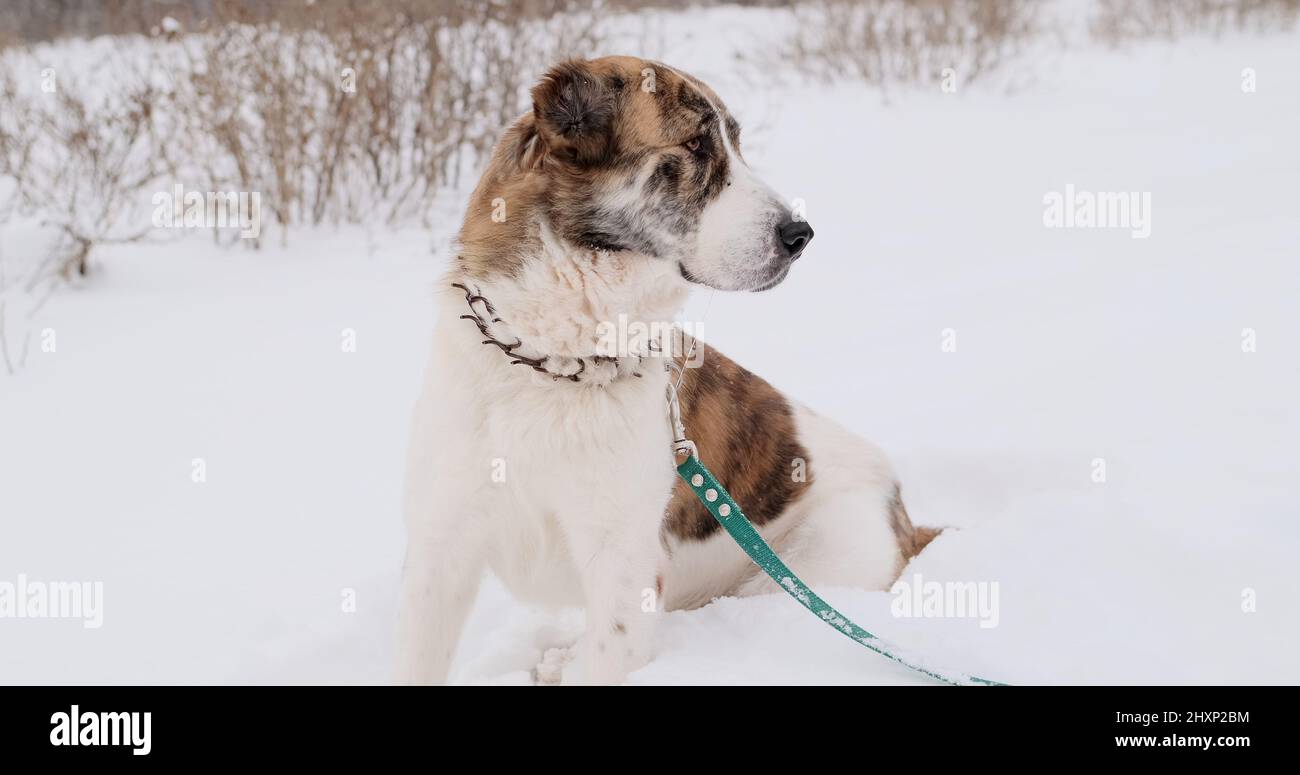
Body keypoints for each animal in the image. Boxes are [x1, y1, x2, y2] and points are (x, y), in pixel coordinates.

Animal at [390, 59, 941, 686]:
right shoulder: (439, 550)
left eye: (735, 143)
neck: (551, 364)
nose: (800, 235)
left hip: (808, 569)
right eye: (698, 145)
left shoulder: (623, 569)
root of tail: (902, 512)